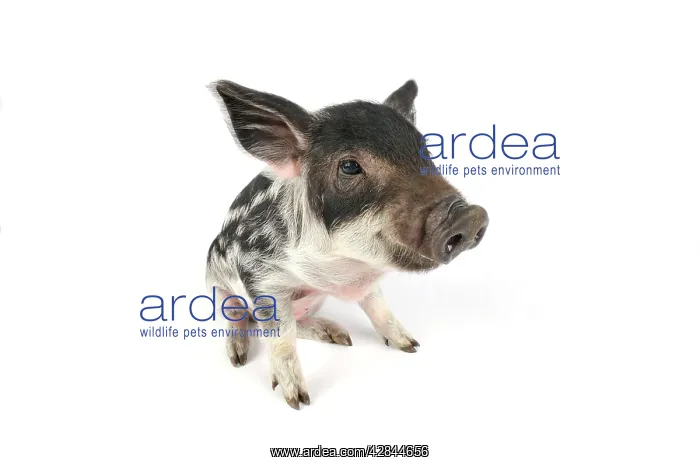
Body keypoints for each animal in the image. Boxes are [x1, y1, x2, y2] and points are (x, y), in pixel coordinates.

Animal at [205, 79, 489, 409]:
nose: (469, 217)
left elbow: (379, 307)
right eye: (350, 166)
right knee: (239, 316)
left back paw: (340, 336)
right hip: (215, 284)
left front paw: (411, 345)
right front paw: (298, 401)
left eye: (426, 152)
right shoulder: (257, 272)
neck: (342, 269)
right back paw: (238, 357)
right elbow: (281, 336)